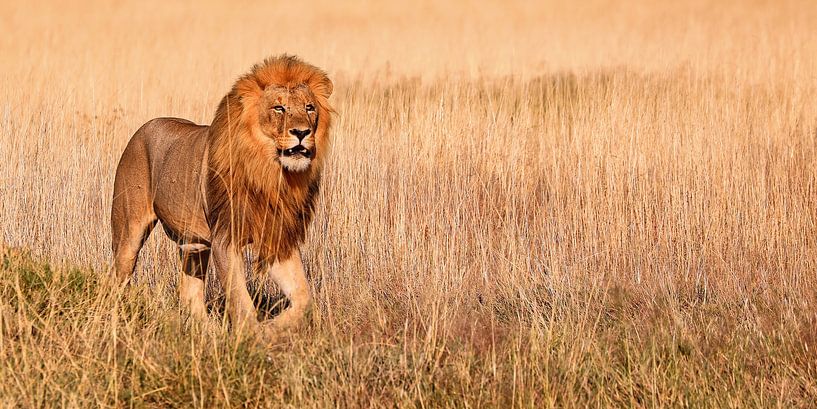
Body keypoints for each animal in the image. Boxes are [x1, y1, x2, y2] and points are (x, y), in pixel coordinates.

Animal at [110, 54, 334, 336]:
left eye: (309, 107)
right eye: (279, 108)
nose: (302, 133)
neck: (269, 172)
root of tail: (144, 127)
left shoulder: (276, 237)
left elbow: (303, 298)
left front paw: (271, 328)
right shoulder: (224, 239)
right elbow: (240, 300)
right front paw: (252, 336)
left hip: (193, 245)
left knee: (190, 293)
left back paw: (207, 333)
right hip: (128, 234)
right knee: (117, 280)